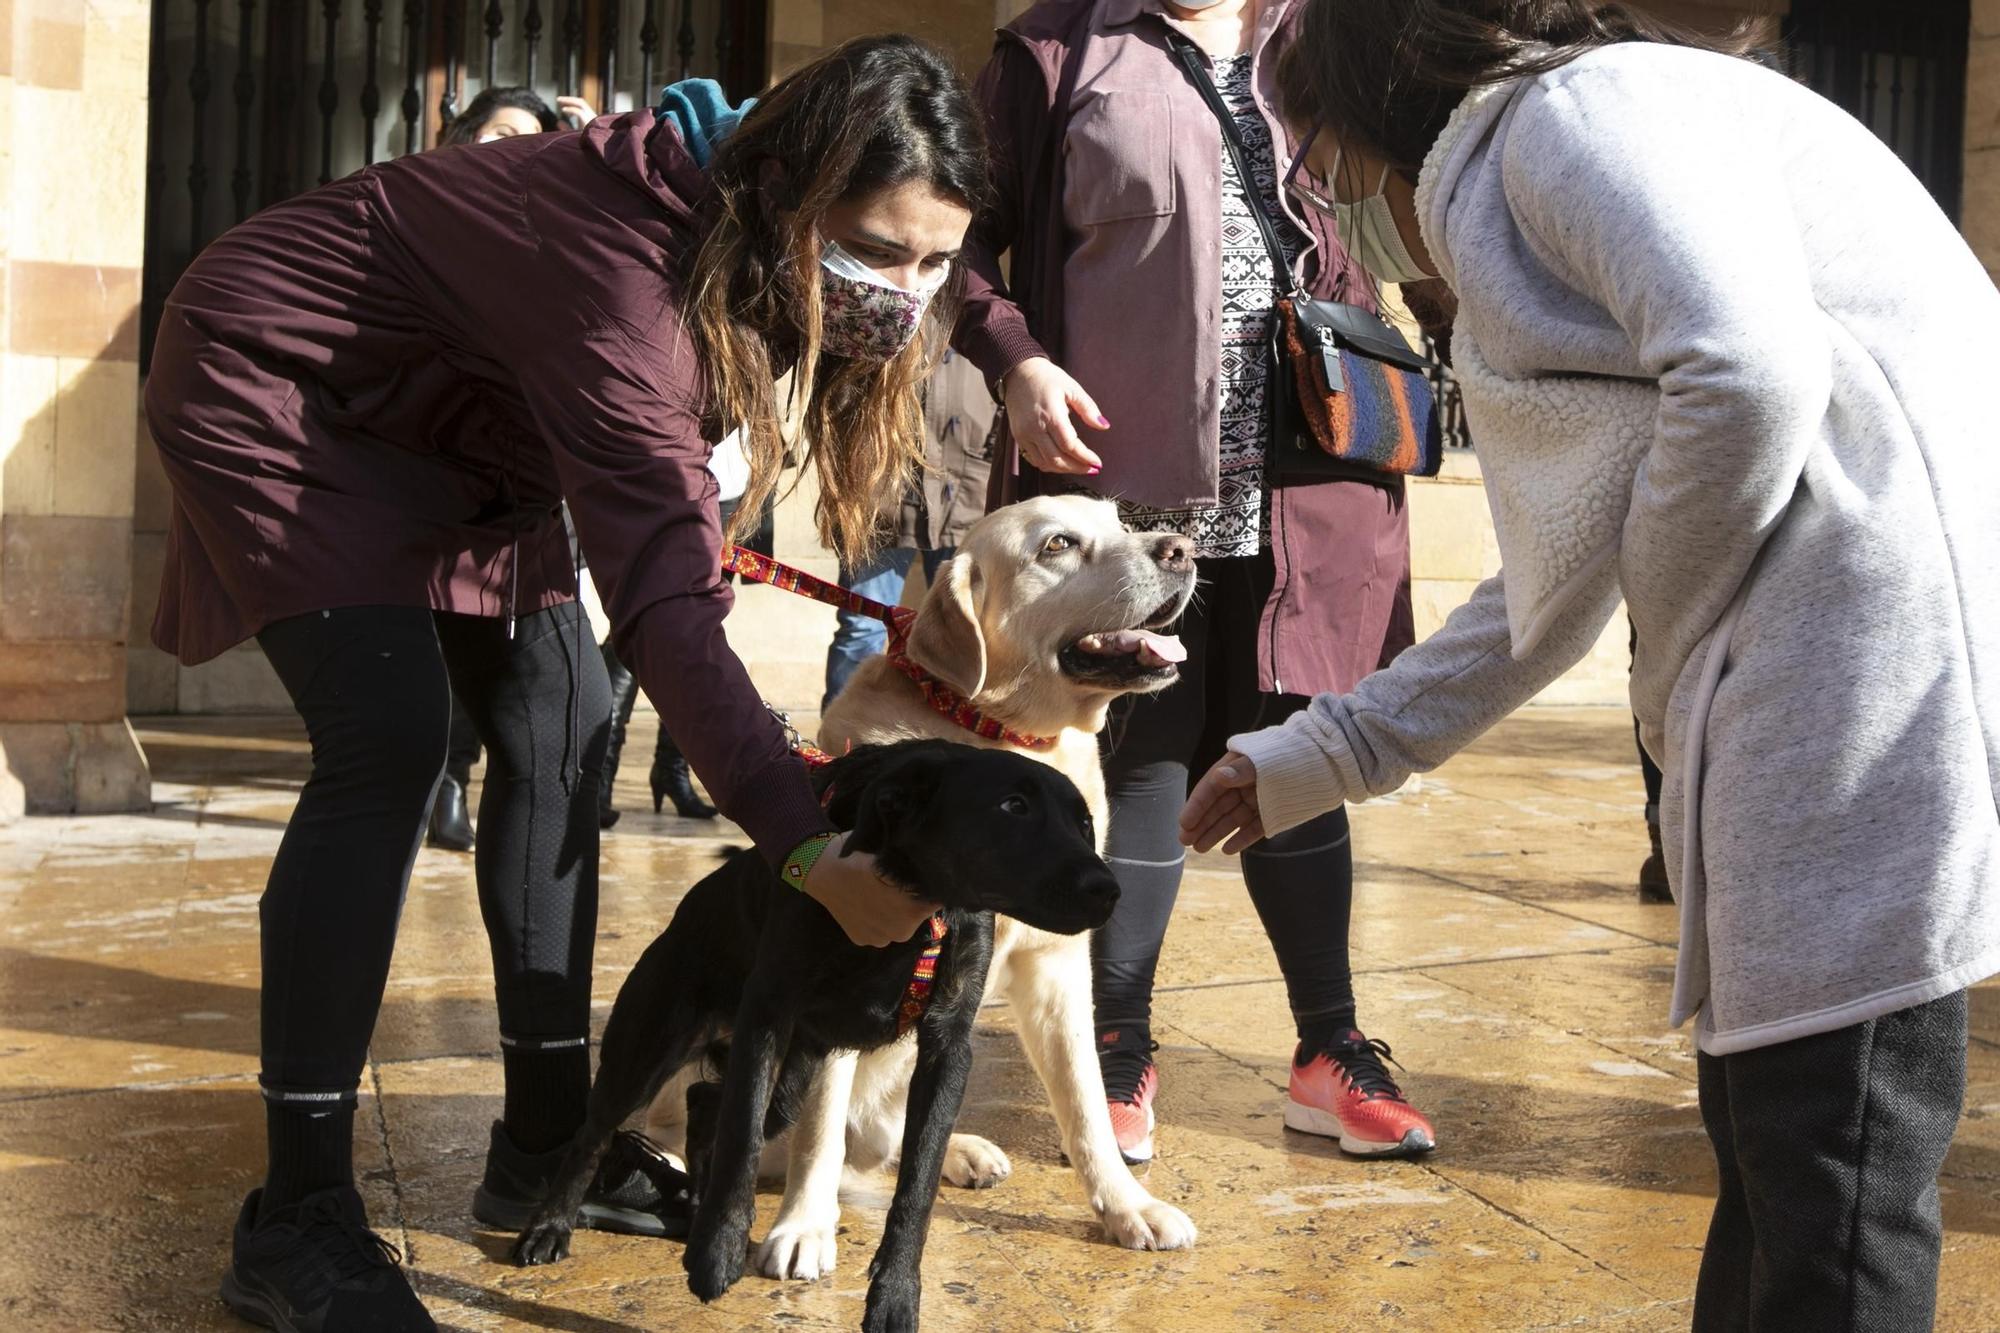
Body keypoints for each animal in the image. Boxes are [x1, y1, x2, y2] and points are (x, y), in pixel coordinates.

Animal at [508, 740, 1120, 1320]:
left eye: (1084, 824)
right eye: (1013, 806)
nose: (1109, 889)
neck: (923, 910)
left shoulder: (947, 1048)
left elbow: (917, 1187)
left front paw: (896, 1298)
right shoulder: (767, 1013)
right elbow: (741, 1141)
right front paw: (718, 1256)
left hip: (792, 1076)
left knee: (704, 1100)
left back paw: (694, 1209)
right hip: (651, 1049)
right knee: (596, 1135)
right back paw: (551, 1228)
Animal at [740, 492, 1184, 1272]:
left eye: (1120, 520)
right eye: (1058, 544)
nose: (1183, 549)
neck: (998, 739)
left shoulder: (1055, 963)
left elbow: (1086, 1104)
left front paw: (1127, 1207)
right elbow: (819, 1126)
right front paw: (803, 1227)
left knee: (886, 1136)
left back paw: (963, 1150)